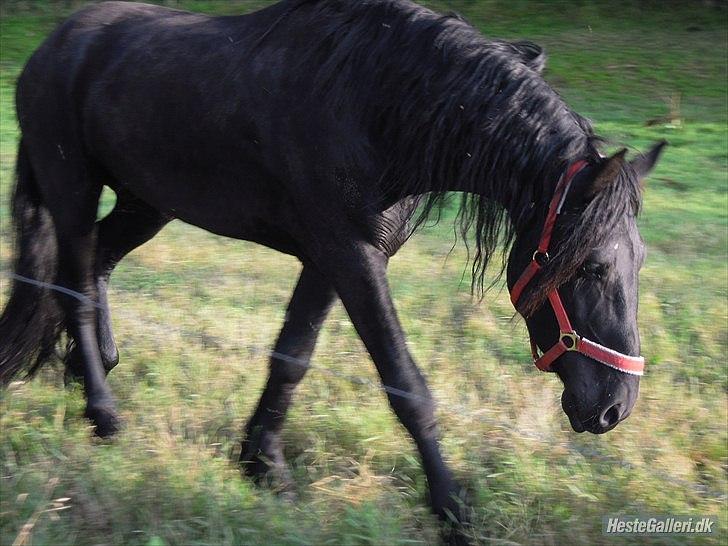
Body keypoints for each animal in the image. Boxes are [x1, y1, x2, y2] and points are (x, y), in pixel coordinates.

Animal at [1, 0, 664, 536]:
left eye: (637, 261)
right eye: (592, 267)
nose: (614, 407)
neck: (377, 101)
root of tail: (48, 49)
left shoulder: (331, 259)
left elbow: (292, 356)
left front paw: (262, 462)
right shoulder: (351, 256)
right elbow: (405, 384)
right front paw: (452, 508)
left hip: (147, 201)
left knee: (96, 266)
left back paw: (89, 371)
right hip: (74, 190)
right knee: (73, 286)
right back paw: (103, 414)